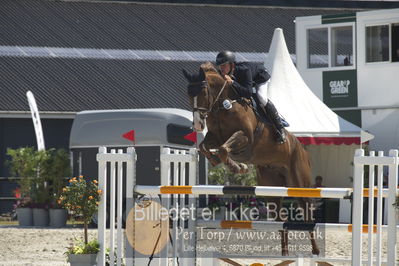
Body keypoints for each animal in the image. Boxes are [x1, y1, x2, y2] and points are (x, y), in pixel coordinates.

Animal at [183, 61, 320, 256]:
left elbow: (224, 149)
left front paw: (237, 167)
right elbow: (205, 147)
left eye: (203, 92)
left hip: (299, 184)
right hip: (273, 189)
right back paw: (285, 254)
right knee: (281, 218)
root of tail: (302, 148)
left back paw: (315, 251)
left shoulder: (245, 137)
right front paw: (226, 163)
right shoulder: (214, 137)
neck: (222, 106)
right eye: (188, 94)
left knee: (308, 215)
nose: (196, 125)